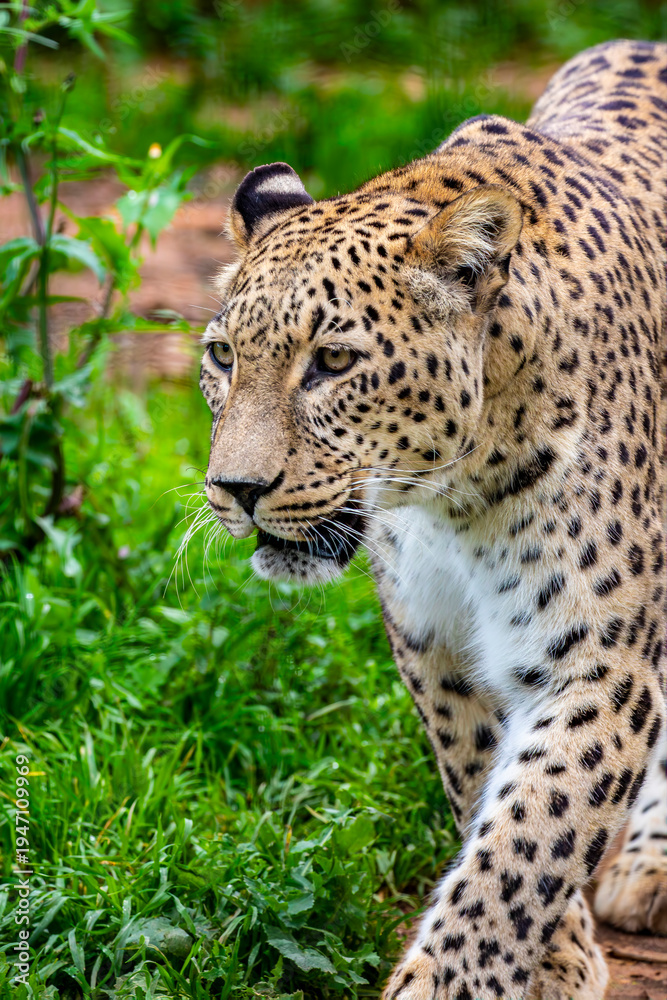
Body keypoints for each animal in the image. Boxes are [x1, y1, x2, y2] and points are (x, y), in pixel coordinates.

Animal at [198, 39, 667, 1000]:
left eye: (332, 362)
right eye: (223, 356)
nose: (234, 487)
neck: (452, 500)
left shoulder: (597, 660)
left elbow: (530, 835)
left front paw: (451, 979)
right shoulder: (434, 643)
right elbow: (487, 791)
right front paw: (557, 954)